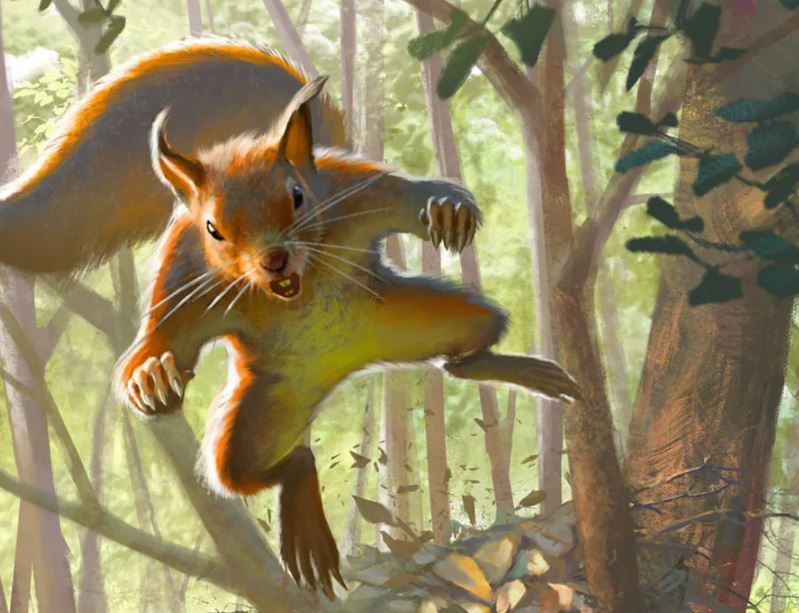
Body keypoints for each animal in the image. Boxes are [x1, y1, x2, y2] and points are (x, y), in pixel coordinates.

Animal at [0, 40, 581, 597]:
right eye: (212, 228)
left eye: (298, 196)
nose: (273, 259)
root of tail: (339, 370)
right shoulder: (187, 280)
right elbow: (161, 338)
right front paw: (151, 374)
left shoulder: (357, 192)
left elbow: (406, 193)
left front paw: (446, 207)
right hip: (261, 412)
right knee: (260, 467)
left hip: (432, 316)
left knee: (465, 353)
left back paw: (527, 370)